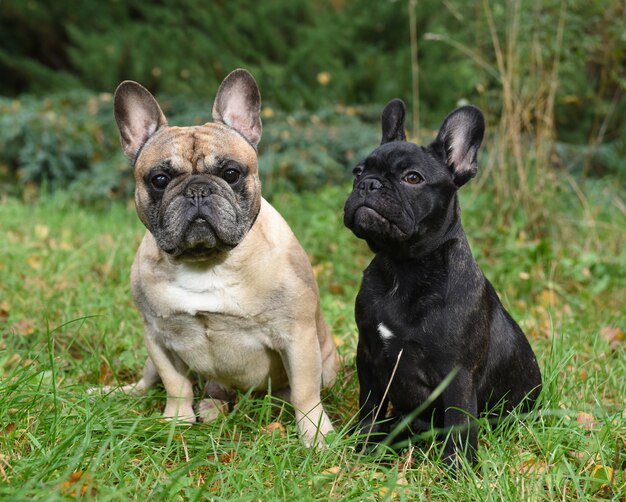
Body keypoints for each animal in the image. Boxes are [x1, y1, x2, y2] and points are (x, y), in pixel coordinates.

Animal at [103, 67, 336, 448]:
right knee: (151, 381)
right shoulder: (158, 337)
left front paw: (316, 438)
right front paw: (176, 421)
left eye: (230, 173)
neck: (206, 262)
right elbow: (175, 384)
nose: (198, 189)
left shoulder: (297, 337)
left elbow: (305, 393)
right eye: (160, 179)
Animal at [342, 100, 540, 464]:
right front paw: (362, 443)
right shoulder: (368, 355)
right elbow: (370, 405)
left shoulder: (457, 374)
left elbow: (459, 422)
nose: (369, 184)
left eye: (412, 178)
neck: (403, 267)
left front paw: (457, 468)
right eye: (358, 172)